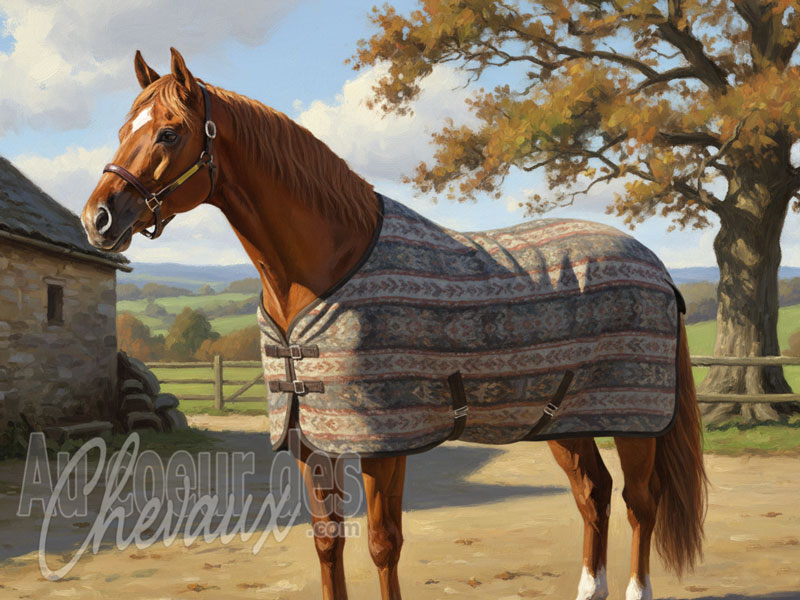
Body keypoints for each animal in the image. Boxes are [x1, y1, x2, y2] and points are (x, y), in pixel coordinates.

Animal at [81, 48, 707, 600]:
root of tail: (656, 266)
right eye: (122, 128)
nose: (98, 219)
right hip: (561, 417)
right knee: (592, 493)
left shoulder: (384, 443)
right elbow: (327, 541)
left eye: (168, 133)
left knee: (639, 502)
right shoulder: (315, 438)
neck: (330, 265)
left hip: (634, 421)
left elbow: (384, 544)